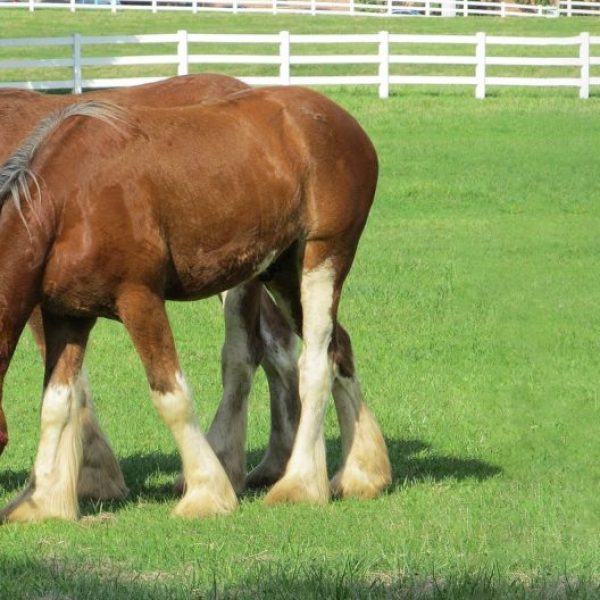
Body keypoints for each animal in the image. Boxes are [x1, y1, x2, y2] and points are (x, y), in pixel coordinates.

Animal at [0, 86, 390, 524]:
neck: (70, 201)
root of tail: (342, 121)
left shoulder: (140, 300)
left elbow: (171, 396)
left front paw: (206, 491)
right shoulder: (66, 315)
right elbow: (58, 402)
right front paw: (45, 501)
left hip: (323, 258)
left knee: (315, 363)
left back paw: (300, 485)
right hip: (282, 273)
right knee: (338, 348)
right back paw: (362, 473)